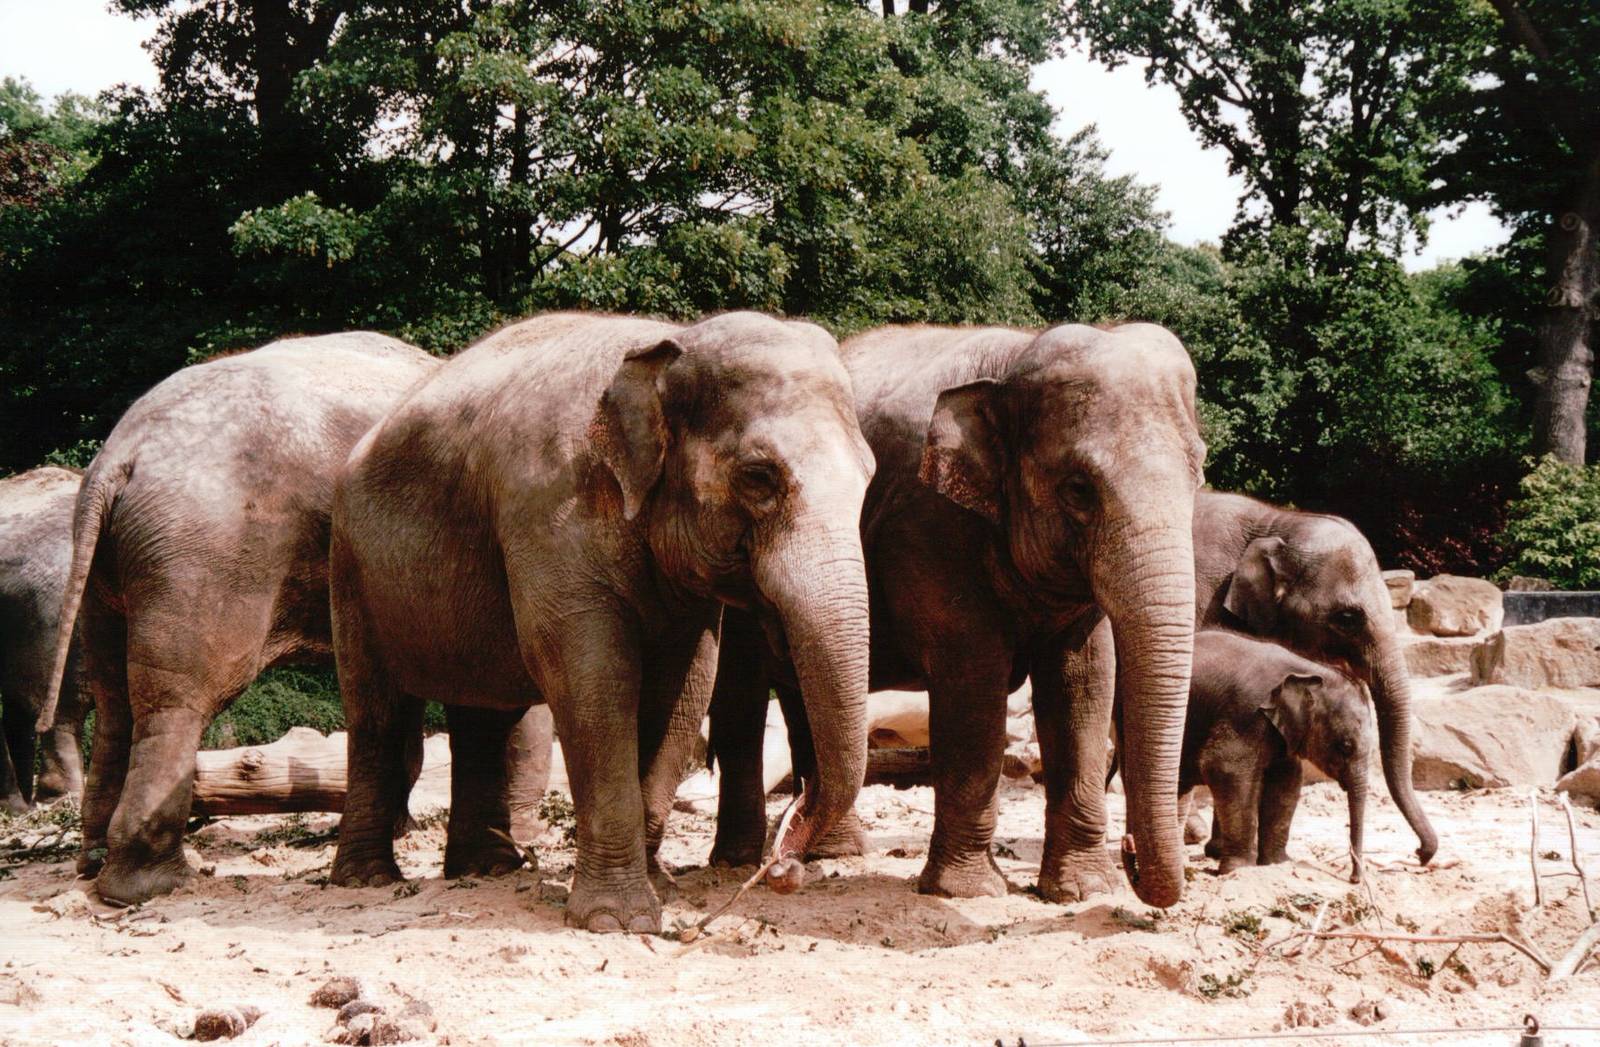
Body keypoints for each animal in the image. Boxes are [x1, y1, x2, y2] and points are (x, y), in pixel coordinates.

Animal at [37, 332, 553, 906]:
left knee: (113, 702)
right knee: (177, 701)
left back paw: (92, 864)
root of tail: (118, 458)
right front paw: (521, 838)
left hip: (108, 575)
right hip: (201, 555)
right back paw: (150, 884)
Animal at [327, 311, 875, 935]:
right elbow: (593, 680)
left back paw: (486, 869)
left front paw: (659, 886)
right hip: (350, 569)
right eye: (758, 477)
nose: (784, 869)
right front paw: (619, 920)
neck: (666, 344)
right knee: (377, 713)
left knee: (480, 714)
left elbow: (685, 687)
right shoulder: (549, 511)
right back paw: (368, 879)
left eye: (869, 476)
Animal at [708, 322, 1205, 908]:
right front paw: (968, 892)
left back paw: (830, 852)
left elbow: (1083, 684)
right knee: (743, 696)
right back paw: (738, 861)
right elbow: (974, 682)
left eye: (1198, 473)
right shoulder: (928, 528)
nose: (1129, 854)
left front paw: (1083, 889)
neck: (1015, 358)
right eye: (1079, 489)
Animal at [1177, 629, 1370, 882]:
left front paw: (1277, 864)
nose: (1354, 879)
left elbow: (1286, 781)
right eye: (1346, 746)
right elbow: (1225, 769)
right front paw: (1239, 869)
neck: (1309, 670)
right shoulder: (1244, 714)